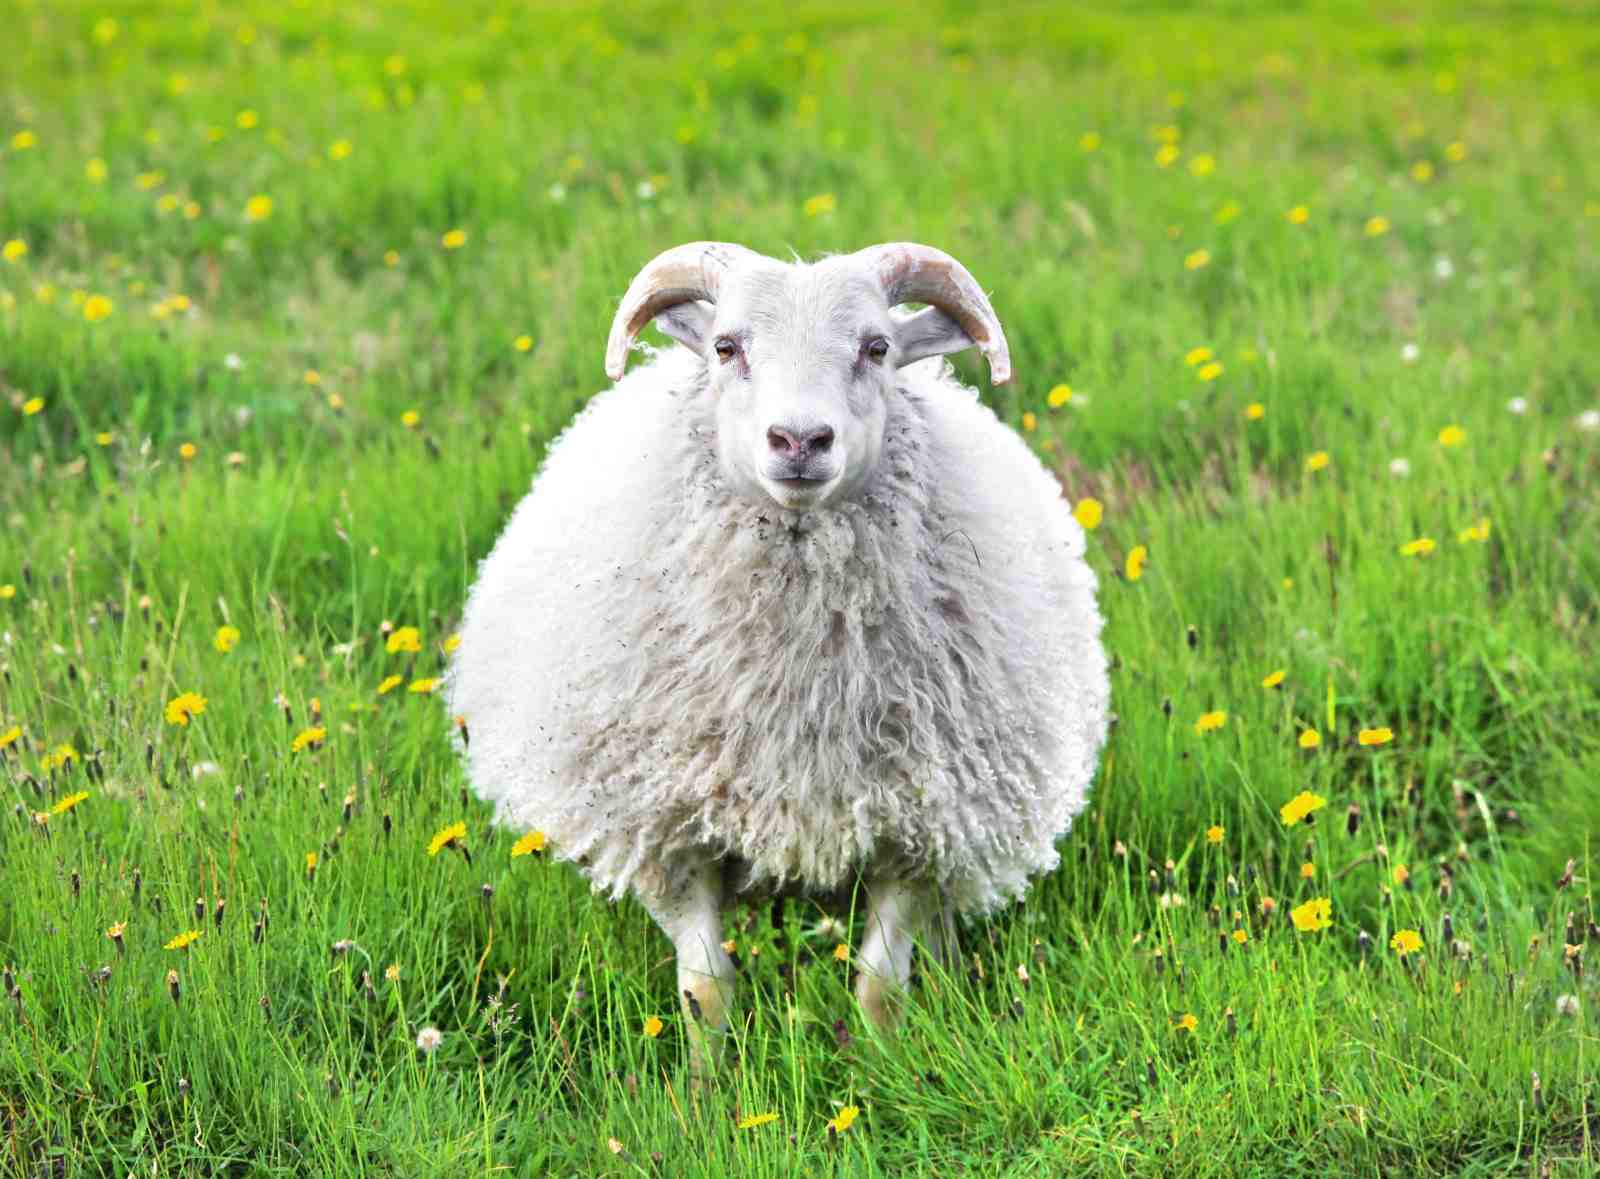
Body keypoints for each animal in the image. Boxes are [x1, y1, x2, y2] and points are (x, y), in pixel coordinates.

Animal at [448, 241, 1110, 1068]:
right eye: (728, 347)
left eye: (876, 347)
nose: (799, 441)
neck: (800, 686)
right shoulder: (670, 832)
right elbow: (705, 989)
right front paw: (706, 1086)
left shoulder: (915, 828)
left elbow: (881, 985)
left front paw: (882, 1072)